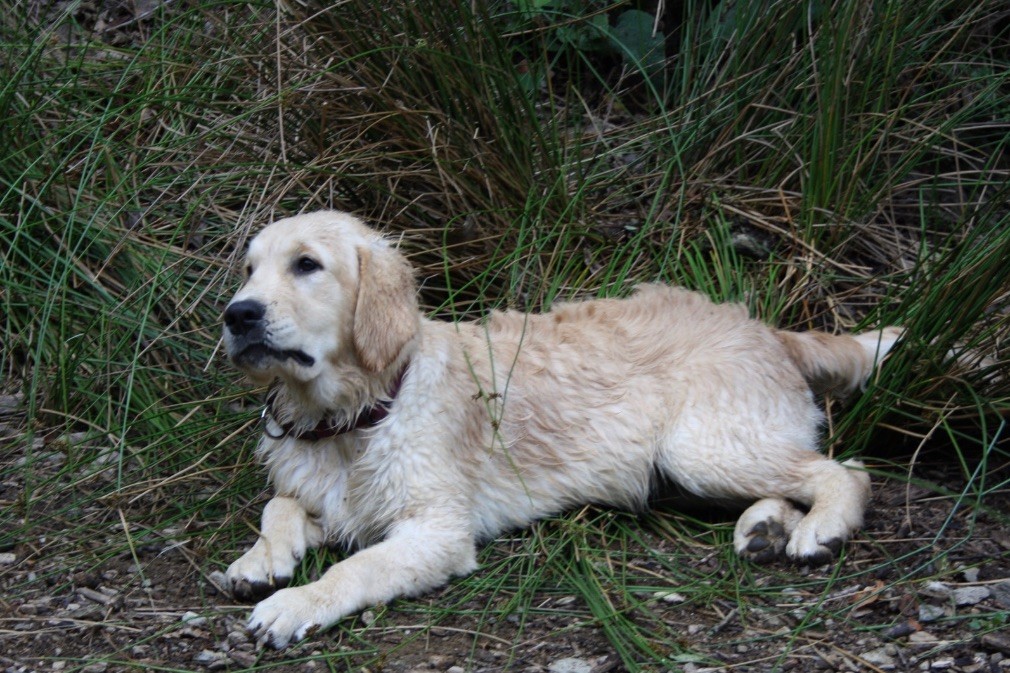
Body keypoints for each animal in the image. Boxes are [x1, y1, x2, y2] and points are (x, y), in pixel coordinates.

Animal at [219, 210, 900, 646]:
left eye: (308, 265)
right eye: (249, 269)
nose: (237, 314)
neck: (352, 416)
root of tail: (766, 327)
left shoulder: (437, 530)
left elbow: (355, 568)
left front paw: (295, 604)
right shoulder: (325, 491)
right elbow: (280, 504)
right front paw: (262, 559)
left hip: (699, 448)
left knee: (846, 471)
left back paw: (819, 529)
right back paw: (765, 528)